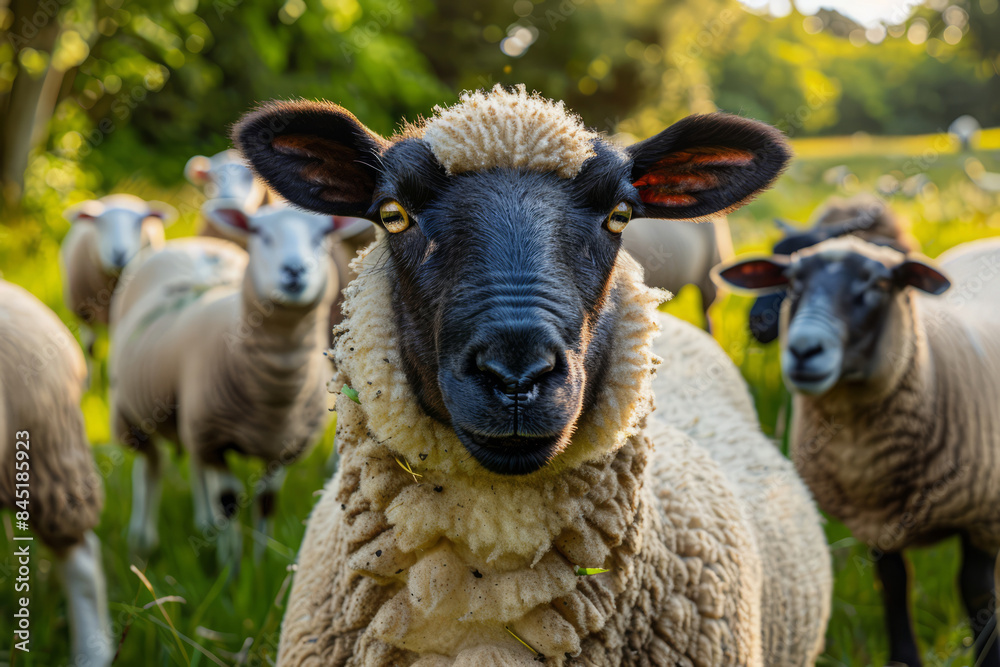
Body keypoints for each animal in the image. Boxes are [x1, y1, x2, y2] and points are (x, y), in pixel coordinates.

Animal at [60, 194, 176, 355]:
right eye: (101, 222)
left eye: (138, 223)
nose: (119, 253)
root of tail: (121, 196)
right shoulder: (85, 314)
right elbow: (90, 349)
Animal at [108, 198, 337, 565]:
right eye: (259, 232)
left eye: (323, 235)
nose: (294, 270)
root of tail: (193, 245)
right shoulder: (214, 440)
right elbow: (229, 501)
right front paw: (232, 566)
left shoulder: (284, 448)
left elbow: (266, 502)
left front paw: (260, 563)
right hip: (130, 415)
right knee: (151, 467)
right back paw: (141, 541)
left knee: (194, 468)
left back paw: (203, 523)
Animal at [715, 235, 1000, 667]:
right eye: (793, 283)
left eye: (877, 284)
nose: (804, 349)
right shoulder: (877, 521)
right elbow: (894, 584)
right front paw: (903, 659)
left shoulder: (979, 515)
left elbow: (977, 593)